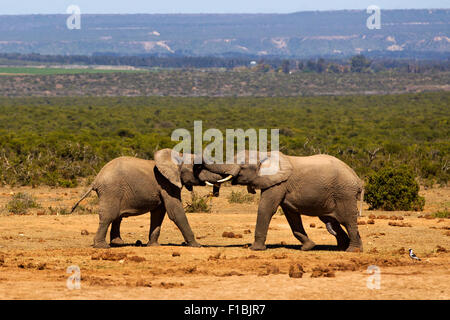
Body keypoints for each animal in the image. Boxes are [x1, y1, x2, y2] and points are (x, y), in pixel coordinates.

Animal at [70, 149, 223, 249]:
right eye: (198, 167)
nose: (215, 193)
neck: (177, 157)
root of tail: (96, 180)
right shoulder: (166, 184)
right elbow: (175, 212)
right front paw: (197, 245)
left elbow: (158, 214)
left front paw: (154, 245)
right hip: (111, 190)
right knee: (109, 216)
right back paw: (103, 247)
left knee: (117, 217)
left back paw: (118, 244)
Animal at [202, 151, 364, 252]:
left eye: (242, 165)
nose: (215, 193)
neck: (263, 154)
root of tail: (357, 179)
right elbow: (291, 216)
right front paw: (308, 247)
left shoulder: (278, 183)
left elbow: (266, 208)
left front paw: (255, 249)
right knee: (331, 220)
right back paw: (343, 248)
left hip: (344, 193)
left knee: (348, 220)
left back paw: (352, 250)